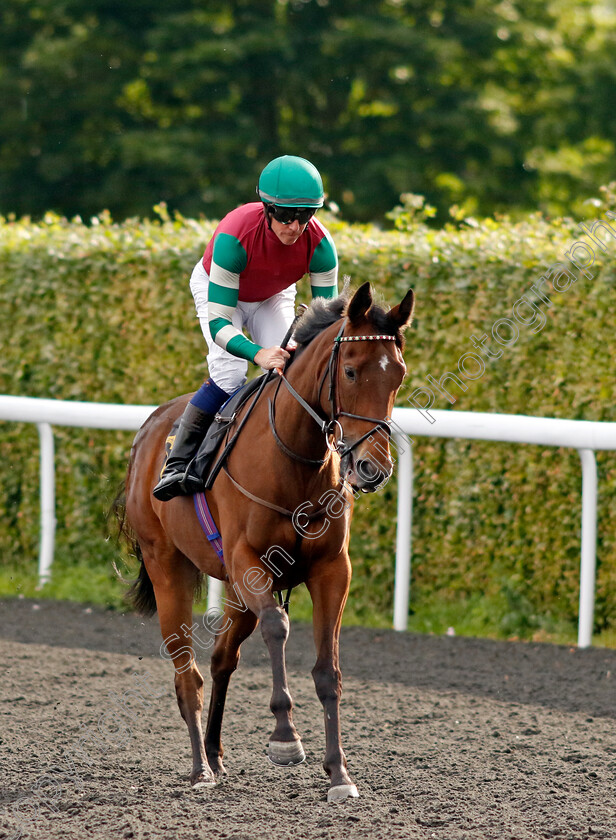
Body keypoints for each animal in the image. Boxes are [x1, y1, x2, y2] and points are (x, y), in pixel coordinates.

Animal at [115, 280, 414, 800]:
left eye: (398, 375)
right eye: (351, 370)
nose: (372, 468)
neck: (295, 459)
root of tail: (147, 433)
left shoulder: (332, 569)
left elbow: (328, 670)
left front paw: (339, 773)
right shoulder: (247, 561)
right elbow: (278, 626)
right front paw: (285, 738)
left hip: (234, 592)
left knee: (221, 659)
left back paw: (215, 754)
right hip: (168, 566)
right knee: (187, 672)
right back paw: (200, 769)